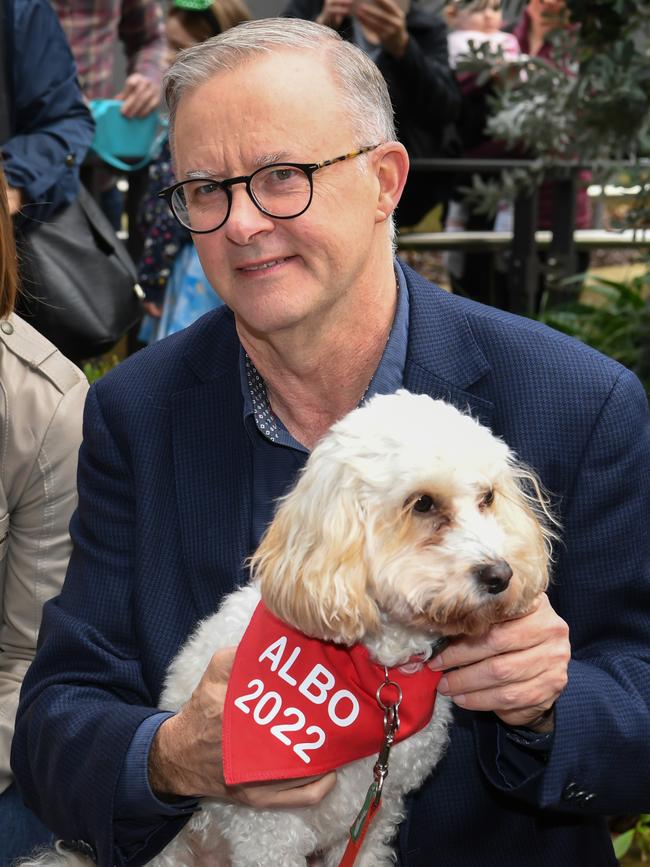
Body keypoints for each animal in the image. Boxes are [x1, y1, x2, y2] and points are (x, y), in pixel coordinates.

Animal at [22, 392, 556, 867]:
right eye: (422, 504)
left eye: (488, 497)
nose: (501, 575)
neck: (374, 672)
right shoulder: (267, 827)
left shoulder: (375, 815)